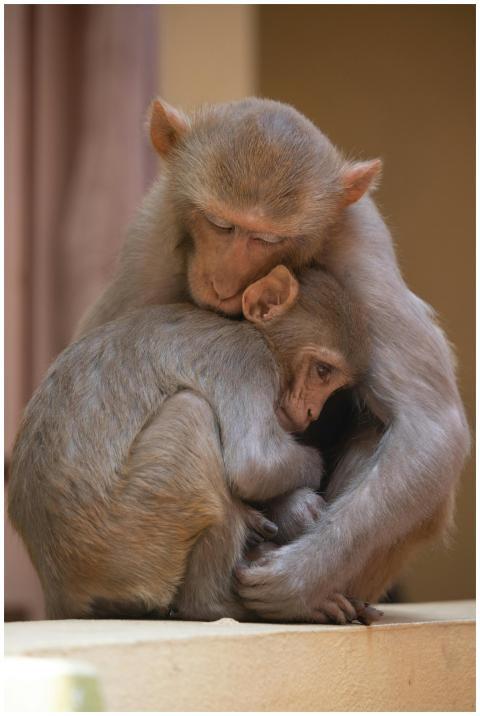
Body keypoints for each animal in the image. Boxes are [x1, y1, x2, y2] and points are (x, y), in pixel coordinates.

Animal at [9, 265, 377, 624]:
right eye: (322, 370)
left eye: (333, 381)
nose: (313, 411)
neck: (262, 340)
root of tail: (59, 585)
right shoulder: (247, 362)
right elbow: (257, 465)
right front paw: (303, 481)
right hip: (124, 535)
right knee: (192, 412)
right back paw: (219, 605)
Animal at [70, 96, 469, 621]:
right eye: (221, 224)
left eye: (266, 240)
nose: (222, 280)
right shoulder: (152, 237)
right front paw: (292, 506)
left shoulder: (361, 244)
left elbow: (431, 425)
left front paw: (301, 580)